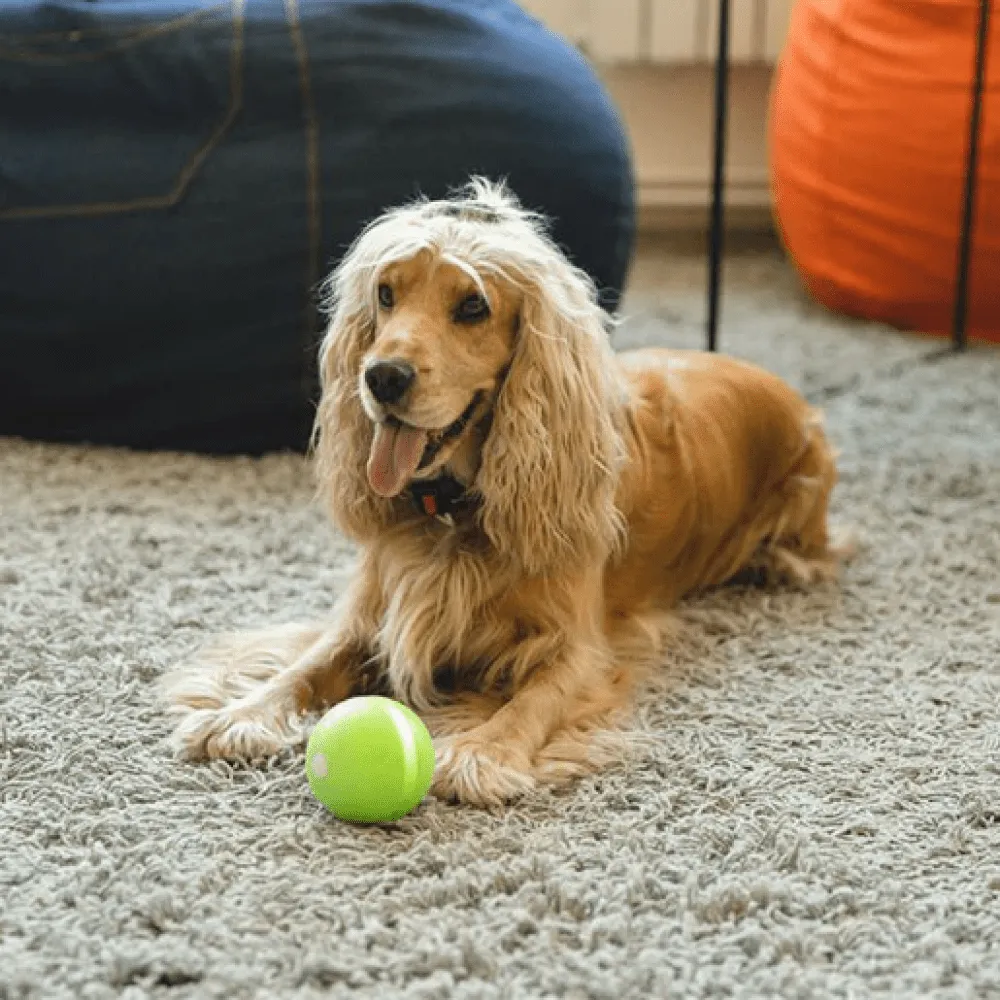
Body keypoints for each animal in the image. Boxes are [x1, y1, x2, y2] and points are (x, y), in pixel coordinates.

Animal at [164, 178, 852, 804]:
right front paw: (243, 712)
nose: (381, 376)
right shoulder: (373, 609)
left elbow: (536, 699)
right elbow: (305, 665)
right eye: (385, 294)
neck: (451, 512)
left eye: (473, 306)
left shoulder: (583, 647)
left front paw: (481, 752)